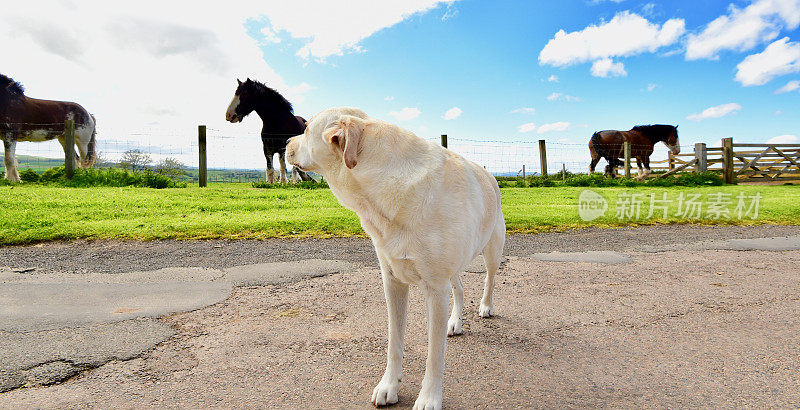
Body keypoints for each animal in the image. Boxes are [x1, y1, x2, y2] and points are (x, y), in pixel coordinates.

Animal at [284, 106, 504, 410]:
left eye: (305, 130)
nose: (286, 143)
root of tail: (489, 175)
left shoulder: (435, 288)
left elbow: (434, 354)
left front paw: (429, 398)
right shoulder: (393, 281)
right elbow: (394, 342)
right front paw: (389, 386)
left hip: (493, 250)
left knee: (489, 281)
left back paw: (485, 307)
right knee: (459, 289)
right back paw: (455, 322)